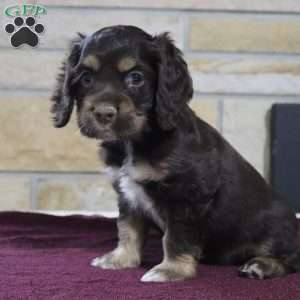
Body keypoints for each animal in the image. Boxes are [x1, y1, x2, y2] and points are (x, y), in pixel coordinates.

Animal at [51, 25, 300, 282]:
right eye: (86, 78)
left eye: (136, 78)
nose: (103, 113)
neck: (135, 140)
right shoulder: (127, 193)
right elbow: (128, 228)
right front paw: (121, 259)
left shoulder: (187, 195)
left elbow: (176, 237)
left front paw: (171, 270)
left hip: (273, 228)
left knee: (292, 259)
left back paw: (262, 265)